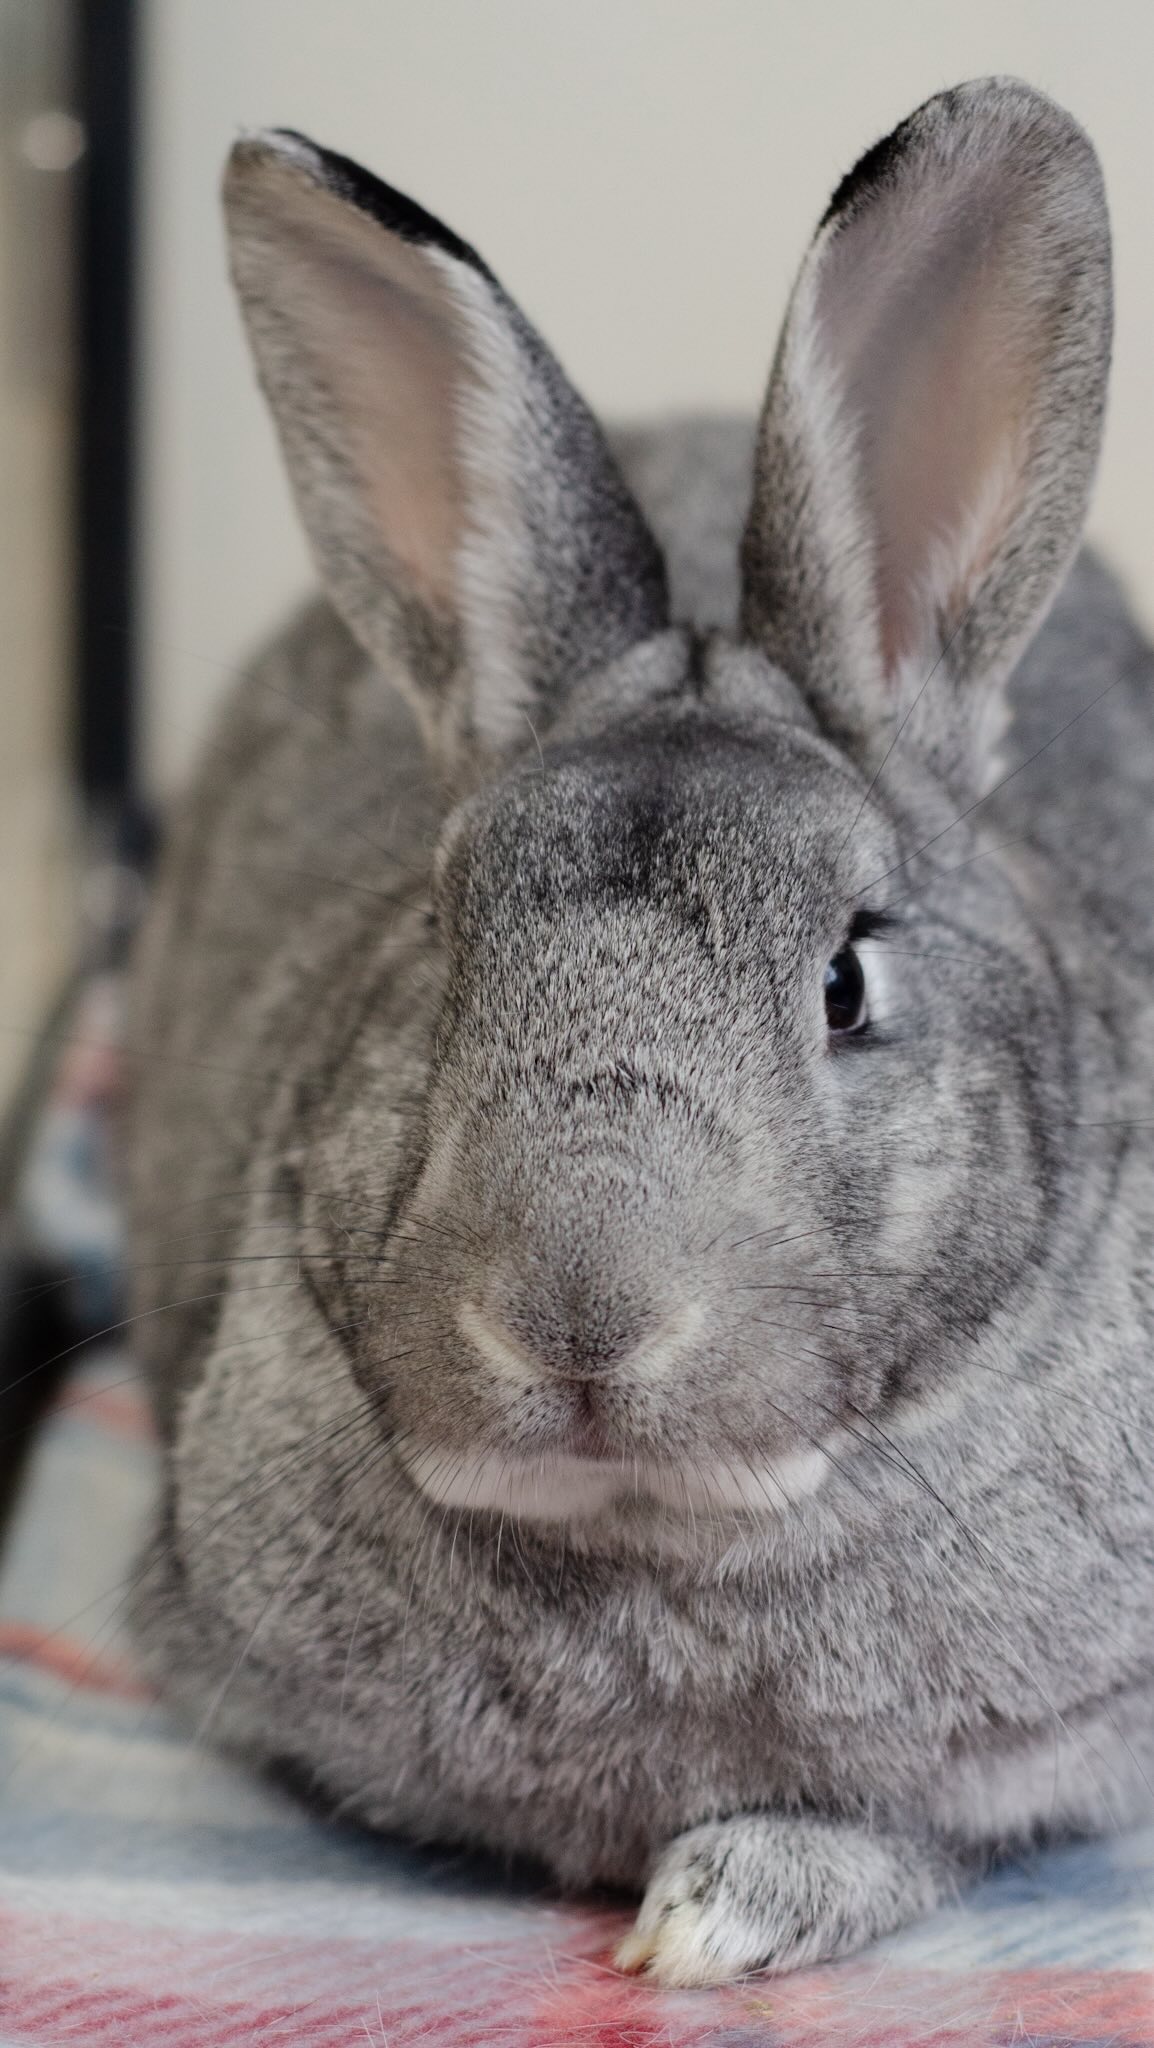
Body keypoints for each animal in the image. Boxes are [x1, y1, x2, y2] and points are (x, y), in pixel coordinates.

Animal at [125, 76, 1154, 1988]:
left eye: (846, 981)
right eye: (443, 940)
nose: (578, 1321)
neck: (660, 1534)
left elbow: (934, 1834)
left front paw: (714, 1912)